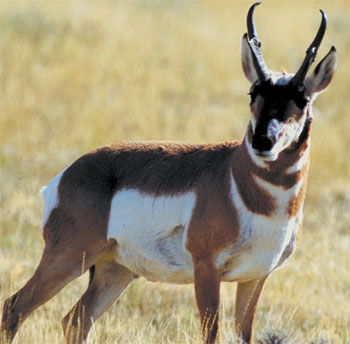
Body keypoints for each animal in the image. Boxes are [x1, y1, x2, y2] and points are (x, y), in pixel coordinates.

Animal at [2, 2, 336, 344]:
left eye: (302, 99)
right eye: (253, 92)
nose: (262, 142)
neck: (242, 187)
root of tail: (67, 175)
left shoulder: (255, 277)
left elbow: (244, 335)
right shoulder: (206, 270)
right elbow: (212, 334)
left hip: (114, 270)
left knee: (76, 319)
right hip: (68, 259)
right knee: (15, 306)